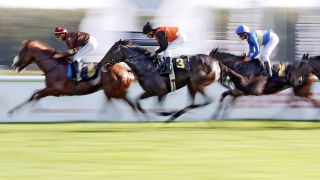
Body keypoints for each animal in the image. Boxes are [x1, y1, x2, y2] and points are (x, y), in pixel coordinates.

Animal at [8, 40, 136, 114]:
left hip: (112, 91)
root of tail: (126, 70)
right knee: (129, 103)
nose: (14, 65)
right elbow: (35, 95)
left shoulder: (55, 89)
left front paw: (15, 110)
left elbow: (35, 94)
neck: (54, 66)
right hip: (116, 91)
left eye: (22, 51)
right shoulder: (52, 91)